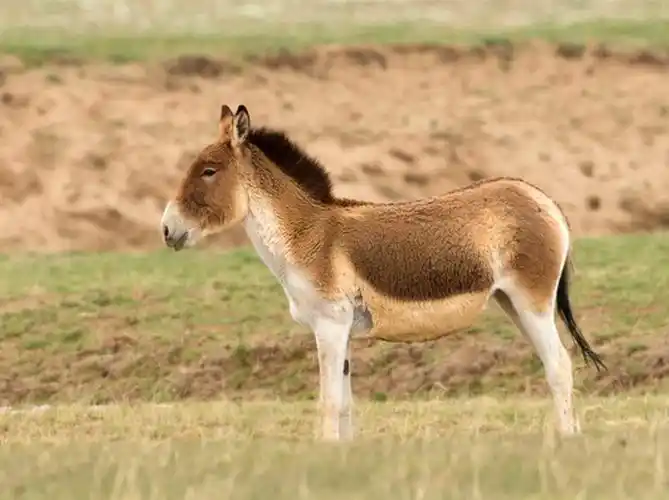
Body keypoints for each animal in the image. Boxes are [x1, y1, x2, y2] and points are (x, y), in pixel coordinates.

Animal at [160, 103, 606, 441]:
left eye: (209, 170)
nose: (166, 230)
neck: (307, 235)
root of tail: (543, 199)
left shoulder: (329, 325)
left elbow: (329, 401)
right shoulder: (342, 330)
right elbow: (346, 403)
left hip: (532, 303)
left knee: (559, 367)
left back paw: (566, 443)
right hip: (511, 302)